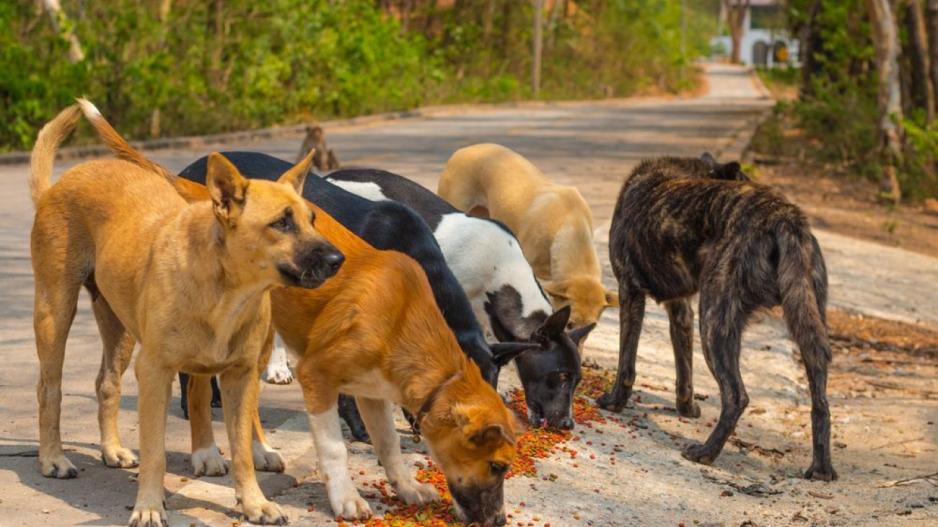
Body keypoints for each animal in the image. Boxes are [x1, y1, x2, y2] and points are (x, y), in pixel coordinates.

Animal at [28, 102, 344, 527]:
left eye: (311, 219)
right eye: (281, 222)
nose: (338, 260)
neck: (226, 290)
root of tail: (57, 186)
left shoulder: (240, 377)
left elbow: (242, 452)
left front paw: (255, 503)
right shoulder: (155, 373)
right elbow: (156, 453)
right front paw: (148, 506)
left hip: (119, 329)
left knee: (106, 384)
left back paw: (111, 450)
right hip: (55, 313)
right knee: (49, 389)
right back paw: (53, 459)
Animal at [600, 154, 832, 482]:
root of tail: (783, 215)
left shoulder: (629, 291)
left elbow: (626, 362)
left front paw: (614, 402)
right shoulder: (681, 308)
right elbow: (684, 369)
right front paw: (686, 408)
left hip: (713, 322)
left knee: (736, 396)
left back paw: (706, 452)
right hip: (808, 327)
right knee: (820, 402)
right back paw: (822, 468)